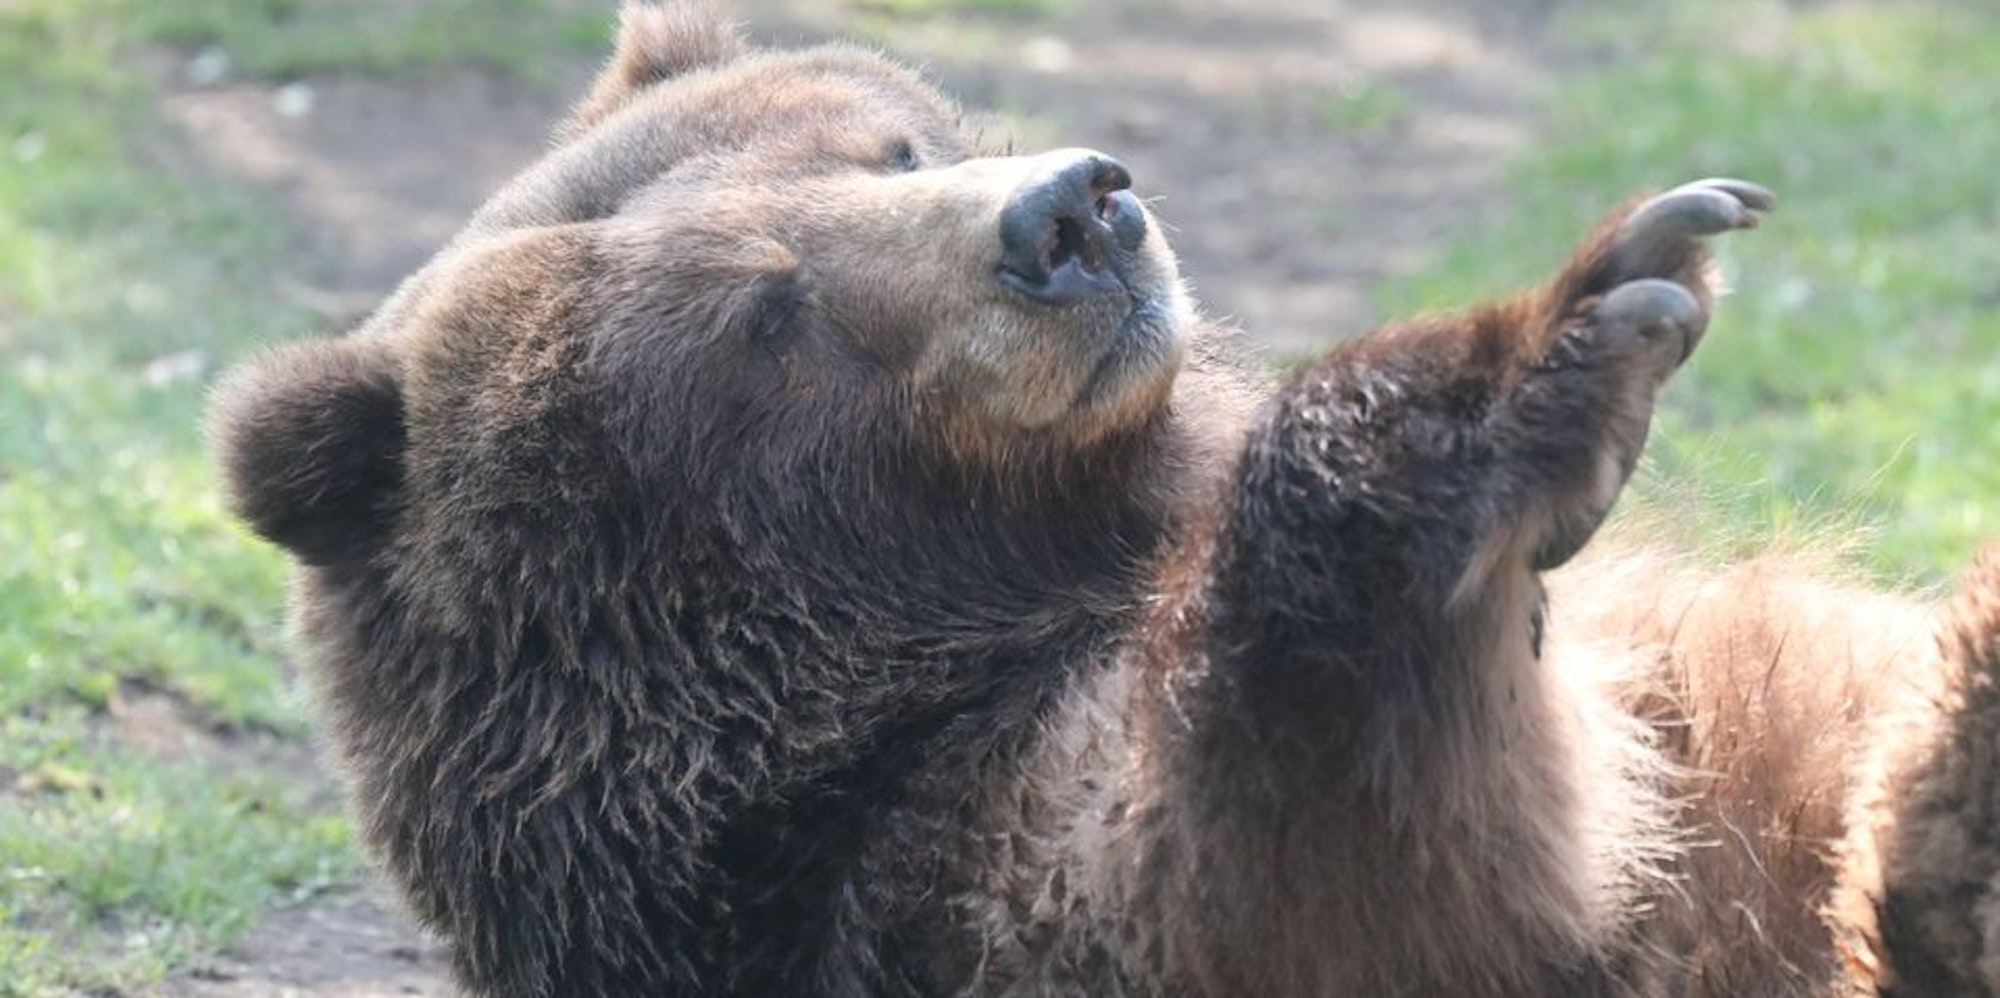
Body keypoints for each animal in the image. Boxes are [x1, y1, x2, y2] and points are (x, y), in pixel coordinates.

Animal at [208, 4, 2000, 996]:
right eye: (770, 309)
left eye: (887, 140)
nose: (1069, 213)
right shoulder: (932, 864)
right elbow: (1323, 838)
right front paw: (1578, 338)